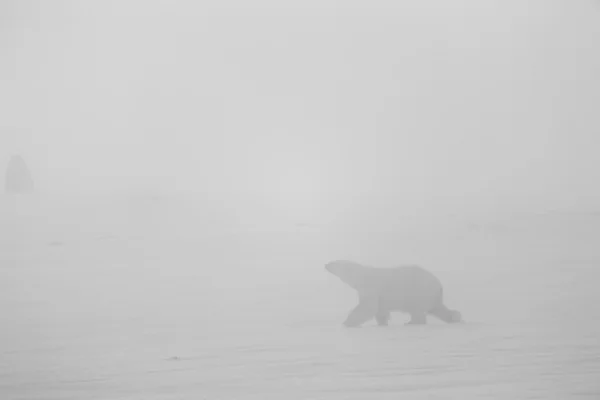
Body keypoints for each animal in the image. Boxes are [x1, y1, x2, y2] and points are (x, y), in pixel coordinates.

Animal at [326, 260, 462, 328]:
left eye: (335, 262)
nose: (326, 264)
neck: (361, 275)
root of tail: (439, 285)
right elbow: (379, 309)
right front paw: (382, 323)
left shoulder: (370, 287)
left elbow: (367, 306)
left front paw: (347, 322)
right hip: (429, 295)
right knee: (438, 309)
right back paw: (455, 317)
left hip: (417, 290)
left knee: (416, 309)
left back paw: (412, 322)